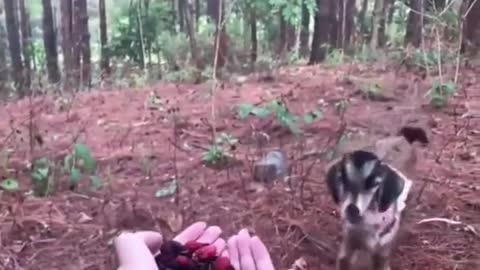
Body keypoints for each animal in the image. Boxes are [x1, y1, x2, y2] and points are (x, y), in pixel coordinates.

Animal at [326, 126, 428, 270]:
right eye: (343, 180)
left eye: (375, 183)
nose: (352, 209)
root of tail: (402, 138)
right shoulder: (349, 243)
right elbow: (344, 259)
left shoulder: (382, 250)